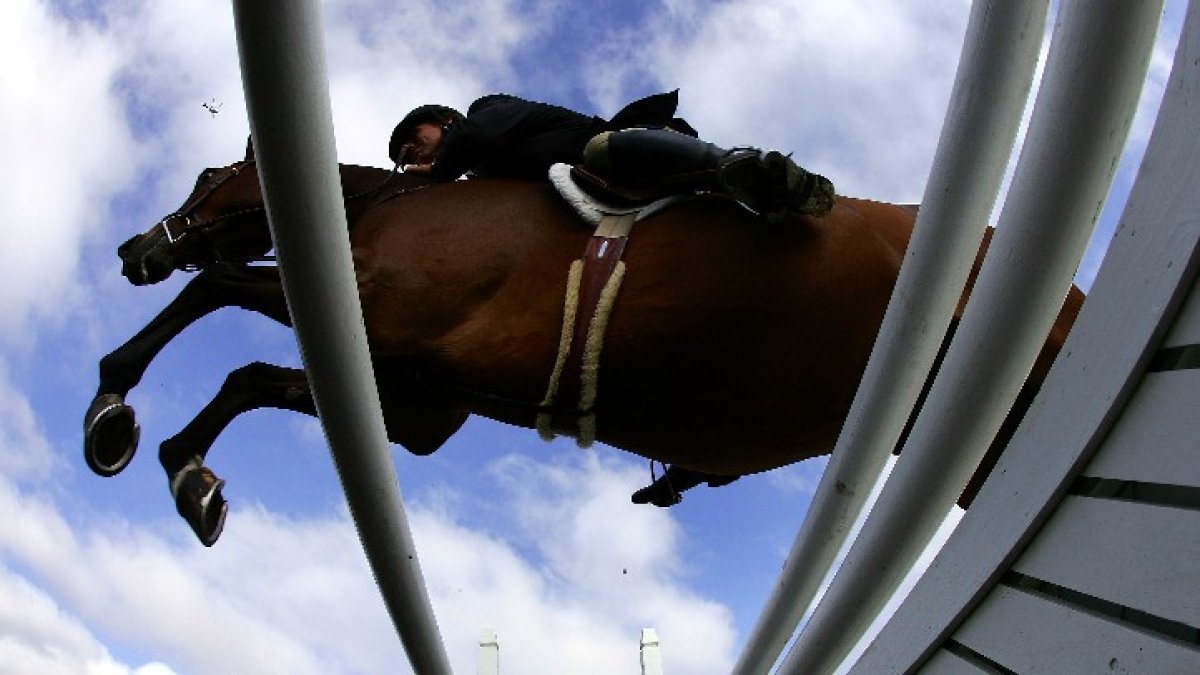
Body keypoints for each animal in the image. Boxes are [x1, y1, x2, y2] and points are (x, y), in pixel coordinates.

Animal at [87, 143, 1084, 546]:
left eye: (210, 176)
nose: (133, 251)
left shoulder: (387, 310)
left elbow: (218, 290)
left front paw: (114, 406)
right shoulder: (415, 397)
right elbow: (250, 375)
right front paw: (189, 471)